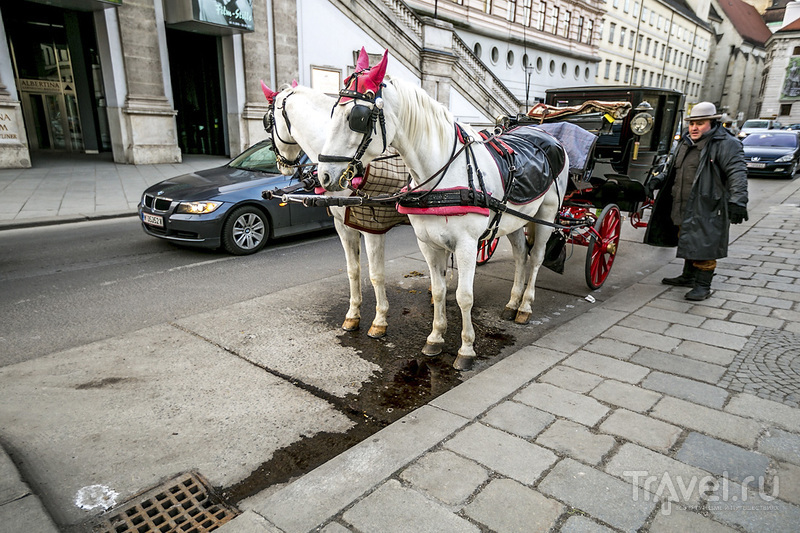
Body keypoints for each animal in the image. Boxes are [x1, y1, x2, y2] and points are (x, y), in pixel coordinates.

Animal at [314, 53, 568, 370]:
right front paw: (435, 338)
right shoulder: (428, 243)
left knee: (536, 259)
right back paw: (512, 303)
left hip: (545, 215)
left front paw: (466, 349)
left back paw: (525, 306)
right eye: (332, 111)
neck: (443, 171)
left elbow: (464, 296)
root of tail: (544, 130)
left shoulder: (467, 245)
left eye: (356, 118)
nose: (323, 175)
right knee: (522, 255)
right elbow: (438, 290)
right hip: (513, 220)